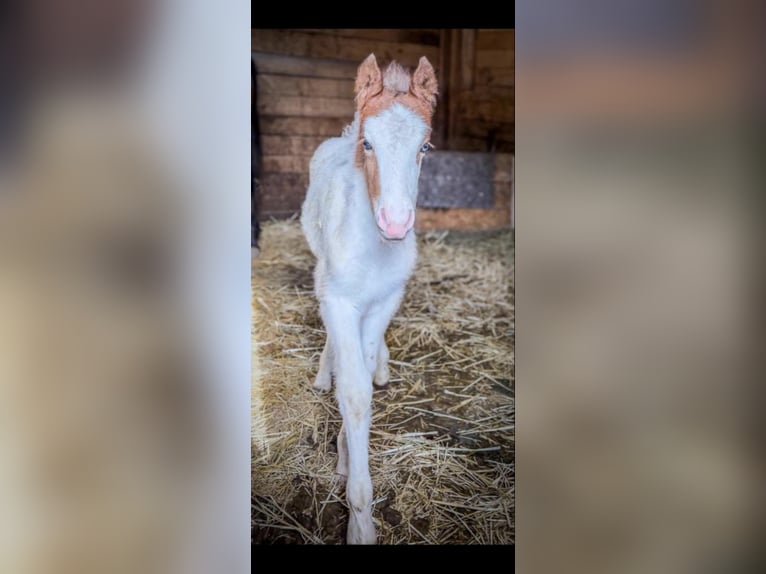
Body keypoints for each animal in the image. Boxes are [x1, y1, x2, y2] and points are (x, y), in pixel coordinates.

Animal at [300, 53, 438, 544]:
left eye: (425, 147)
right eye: (369, 143)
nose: (395, 223)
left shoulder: (385, 300)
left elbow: (364, 358)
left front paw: (345, 452)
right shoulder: (341, 300)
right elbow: (354, 392)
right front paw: (359, 518)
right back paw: (324, 374)